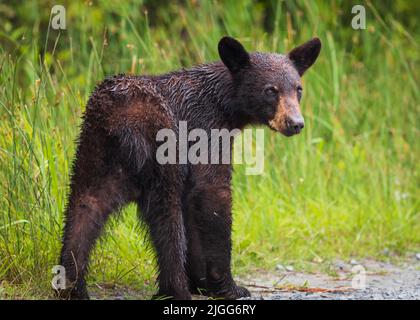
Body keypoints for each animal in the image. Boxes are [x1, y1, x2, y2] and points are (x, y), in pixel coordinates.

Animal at [59, 36, 322, 298]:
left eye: (298, 89)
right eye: (270, 90)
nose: (295, 123)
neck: (226, 106)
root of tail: (121, 122)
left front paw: (201, 281)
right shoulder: (206, 132)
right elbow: (212, 194)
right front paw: (227, 285)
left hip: (95, 153)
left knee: (85, 207)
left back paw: (72, 286)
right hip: (162, 153)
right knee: (167, 220)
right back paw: (176, 289)